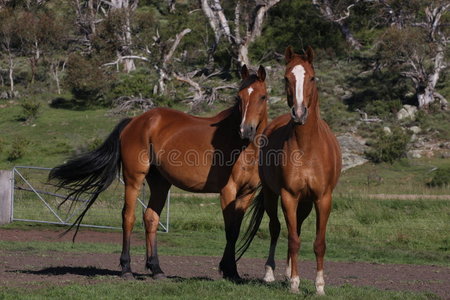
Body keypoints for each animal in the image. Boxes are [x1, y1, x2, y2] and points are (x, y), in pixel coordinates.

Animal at [49, 64, 268, 280]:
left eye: (263, 97)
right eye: (239, 97)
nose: (246, 130)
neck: (242, 147)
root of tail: (135, 121)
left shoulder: (246, 194)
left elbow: (236, 230)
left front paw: (233, 272)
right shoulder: (227, 191)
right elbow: (230, 230)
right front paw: (228, 270)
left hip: (160, 183)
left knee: (151, 218)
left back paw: (156, 269)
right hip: (134, 179)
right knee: (128, 217)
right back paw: (126, 269)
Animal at [237, 47, 340, 296]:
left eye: (312, 78)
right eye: (286, 78)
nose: (299, 113)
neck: (307, 147)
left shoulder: (323, 198)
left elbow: (318, 243)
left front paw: (319, 286)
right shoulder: (288, 196)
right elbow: (292, 239)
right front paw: (294, 283)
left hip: (305, 203)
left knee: (298, 229)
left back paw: (286, 272)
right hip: (272, 195)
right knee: (276, 228)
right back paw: (272, 274)